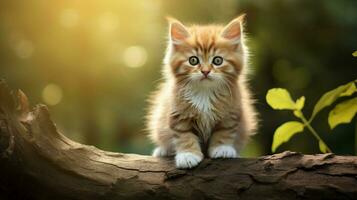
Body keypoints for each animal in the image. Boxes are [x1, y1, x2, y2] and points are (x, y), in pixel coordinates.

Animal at [146, 15, 258, 169]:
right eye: (193, 60)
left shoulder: (230, 113)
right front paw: (187, 155)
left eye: (217, 60)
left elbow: (225, 131)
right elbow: (184, 135)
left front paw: (222, 148)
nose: (205, 71)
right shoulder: (178, 114)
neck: (205, 92)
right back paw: (163, 150)